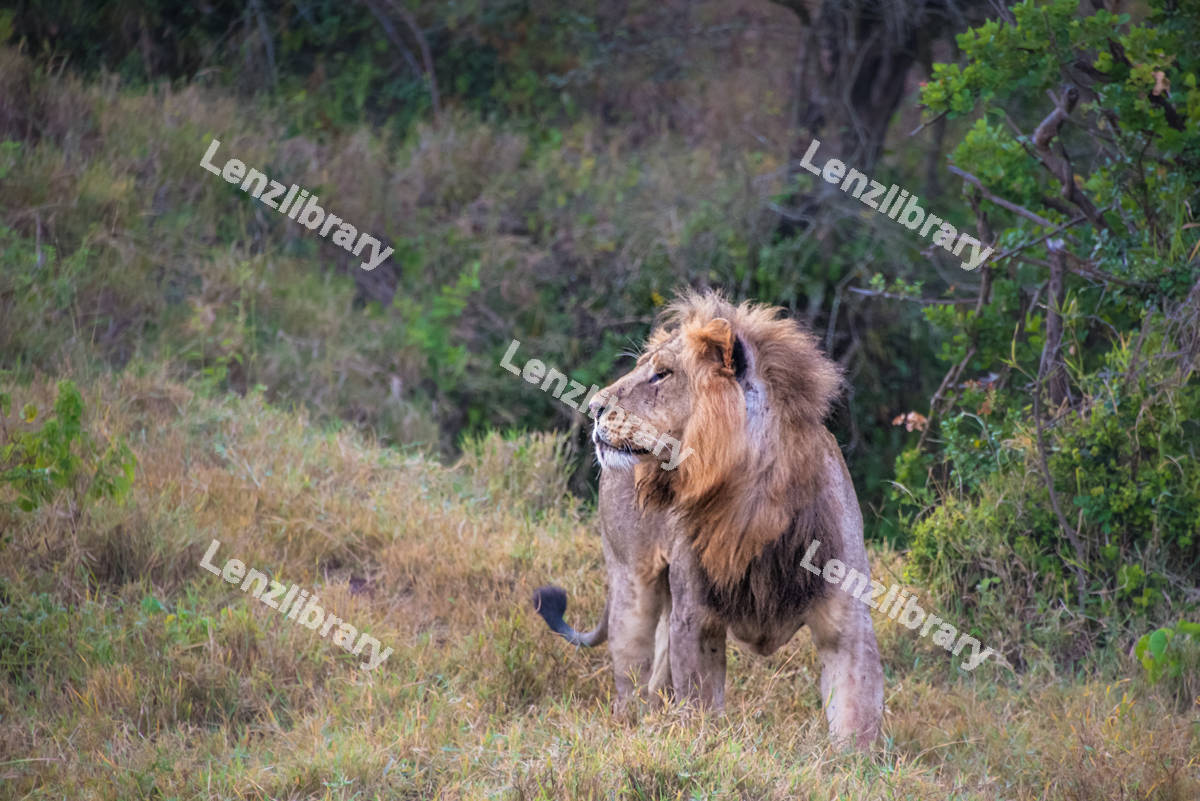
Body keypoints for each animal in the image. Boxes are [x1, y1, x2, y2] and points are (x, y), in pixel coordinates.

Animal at [532, 290, 884, 747]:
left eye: (661, 374)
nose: (593, 407)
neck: (751, 507)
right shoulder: (695, 617)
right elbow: (700, 705)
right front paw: (701, 748)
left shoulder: (847, 625)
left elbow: (857, 716)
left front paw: (851, 763)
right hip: (632, 584)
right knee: (631, 680)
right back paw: (631, 731)